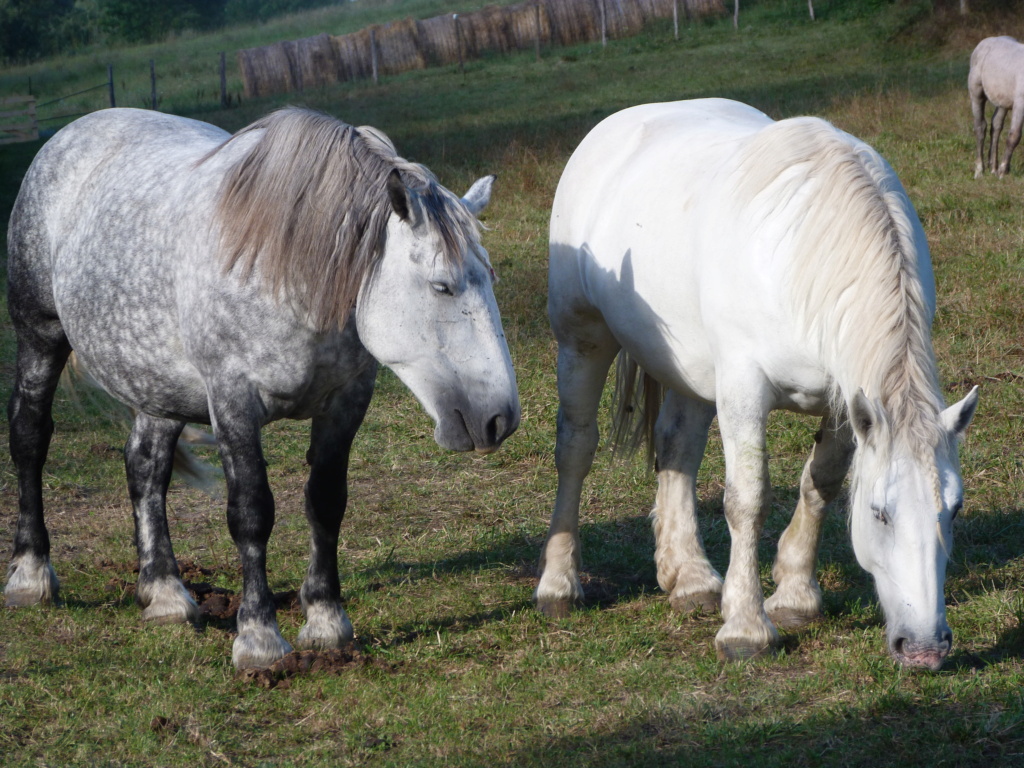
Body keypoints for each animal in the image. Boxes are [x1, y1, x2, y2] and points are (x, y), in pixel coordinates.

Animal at [6, 105, 520, 671]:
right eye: (441, 286)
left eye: (491, 279)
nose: (499, 418)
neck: (286, 269)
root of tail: (74, 131)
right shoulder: (233, 400)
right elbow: (251, 512)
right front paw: (258, 638)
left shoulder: (347, 400)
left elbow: (326, 500)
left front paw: (327, 621)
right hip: (40, 334)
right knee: (30, 435)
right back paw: (30, 574)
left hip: (157, 381)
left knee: (145, 465)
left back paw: (164, 593)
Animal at [536, 97, 974, 671]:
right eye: (879, 514)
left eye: (955, 509)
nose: (924, 648)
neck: (805, 257)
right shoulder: (743, 388)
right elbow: (747, 498)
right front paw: (745, 627)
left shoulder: (844, 398)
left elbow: (821, 481)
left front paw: (794, 594)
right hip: (582, 339)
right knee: (576, 449)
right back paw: (558, 584)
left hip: (690, 372)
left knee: (677, 447)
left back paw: (690, 577)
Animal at [966, 35, 1024, 177]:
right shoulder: (1020, 103)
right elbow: (1014, 136)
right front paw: (1003, 172)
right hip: (976, 93)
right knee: (980, 127)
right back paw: (980, 170)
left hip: (1002, 102)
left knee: (996, 126)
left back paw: (993, 167)